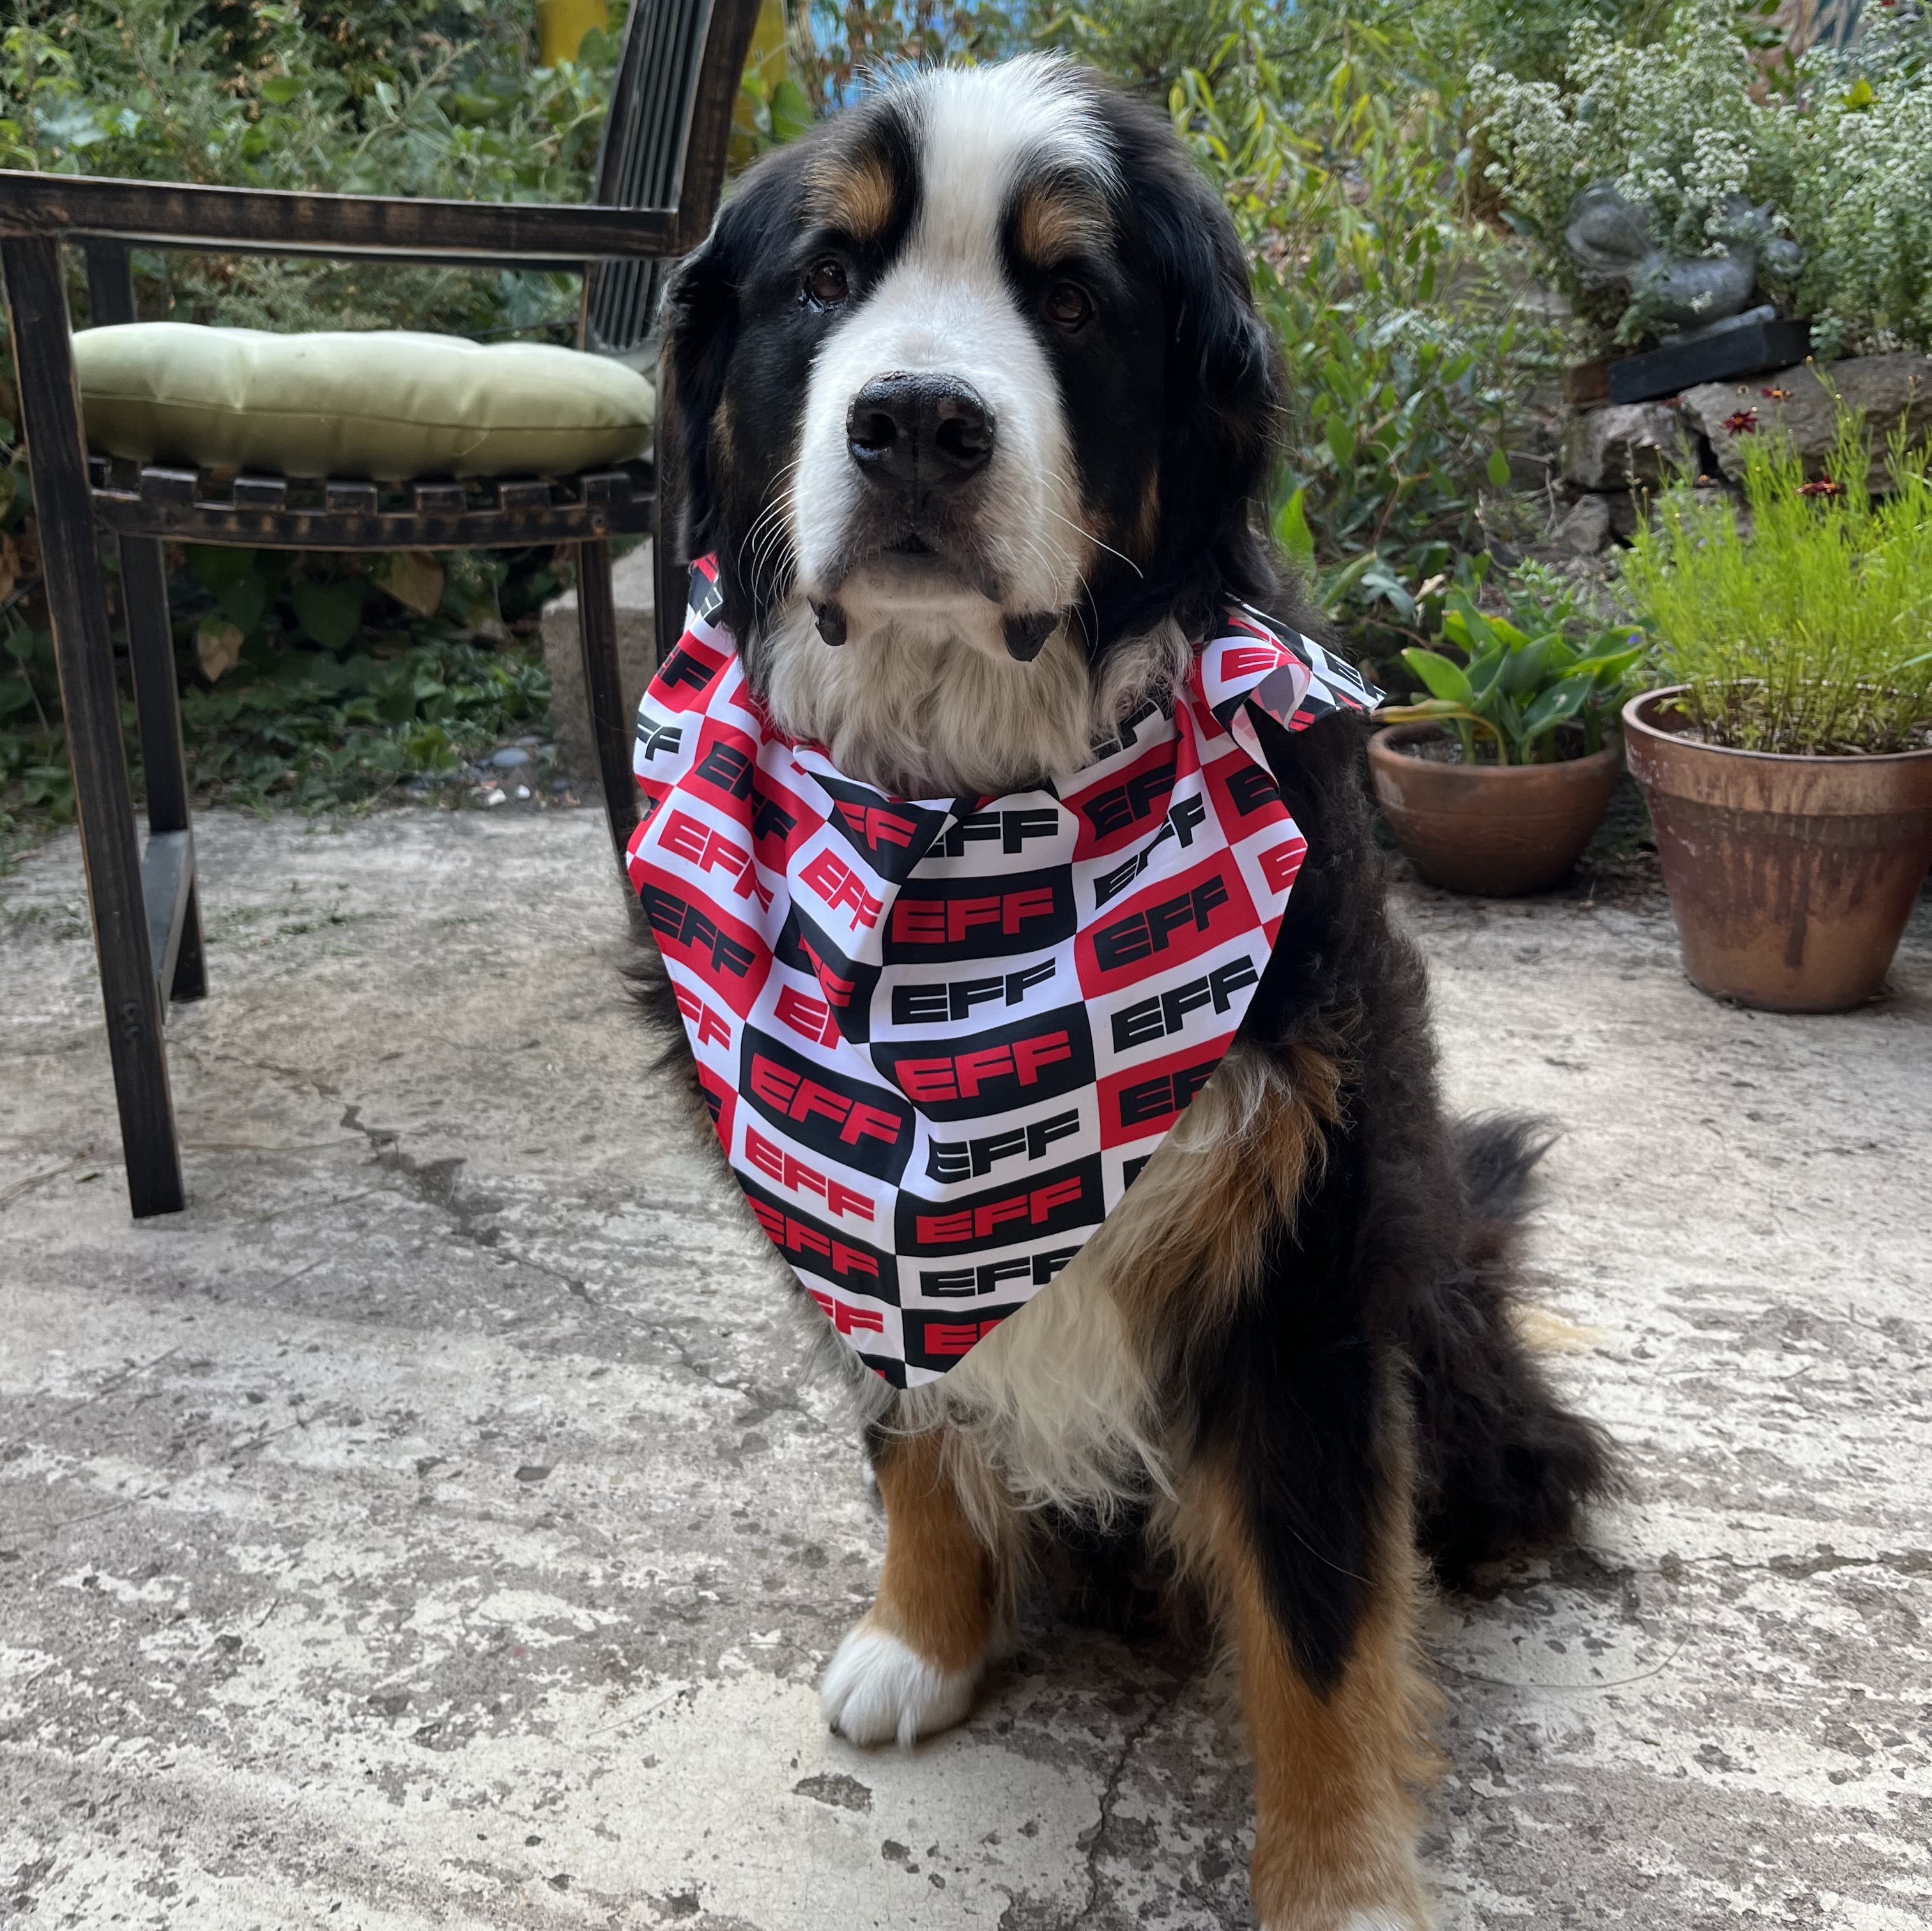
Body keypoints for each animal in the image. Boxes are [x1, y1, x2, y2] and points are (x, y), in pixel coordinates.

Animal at [637, 52, 1615, 1931]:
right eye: (825, 278)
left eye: (1074, 299)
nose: (916, 422)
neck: (969, 815)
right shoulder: (856, 1208)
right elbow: (916, 1423)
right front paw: (922, 1635)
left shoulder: (1302, 1251)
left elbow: (1322, 1613)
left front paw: (1341, 1879)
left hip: (1442, 1307)